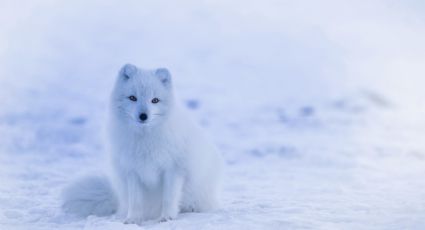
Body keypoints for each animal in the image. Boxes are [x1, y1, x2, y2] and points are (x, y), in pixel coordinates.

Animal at [62, 63, 225, 224]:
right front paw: (133, 220)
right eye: (132, 98)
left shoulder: (173, 169)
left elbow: (169, 198)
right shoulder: (132, 171)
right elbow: (135, 201)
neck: (145, 139)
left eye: (155, 100)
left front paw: (167, 217)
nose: (143, 116)